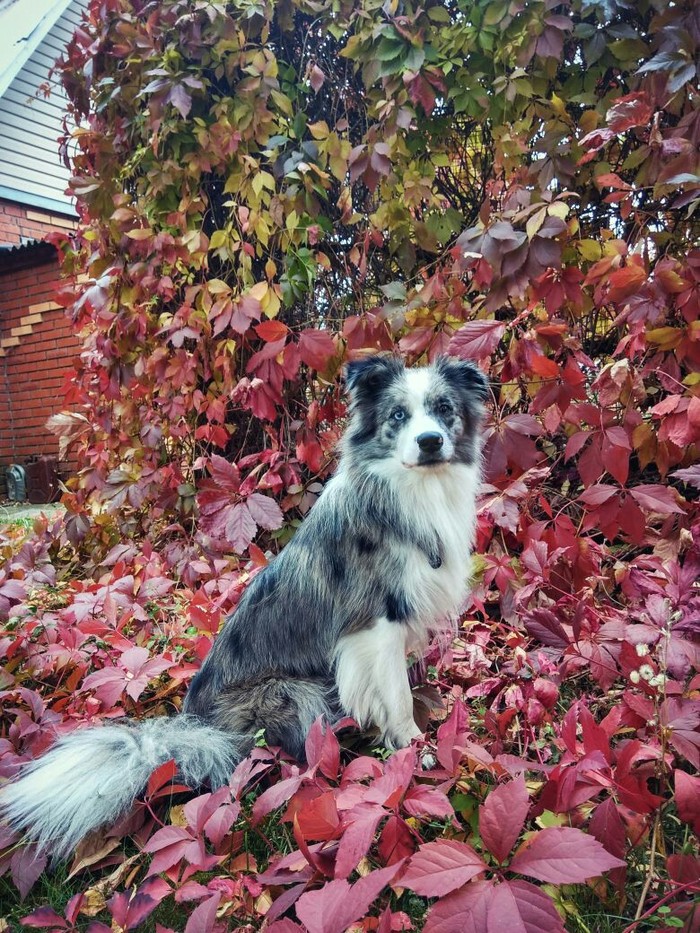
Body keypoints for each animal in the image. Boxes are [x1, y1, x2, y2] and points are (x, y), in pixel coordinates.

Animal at [0, 354, 486, 856]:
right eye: (397, 415)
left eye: (444, 409)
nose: (430, 441)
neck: (414, 490)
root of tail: (195, 726)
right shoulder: (376, 623)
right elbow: (397, 696)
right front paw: (414, 748)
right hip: (293, 691)